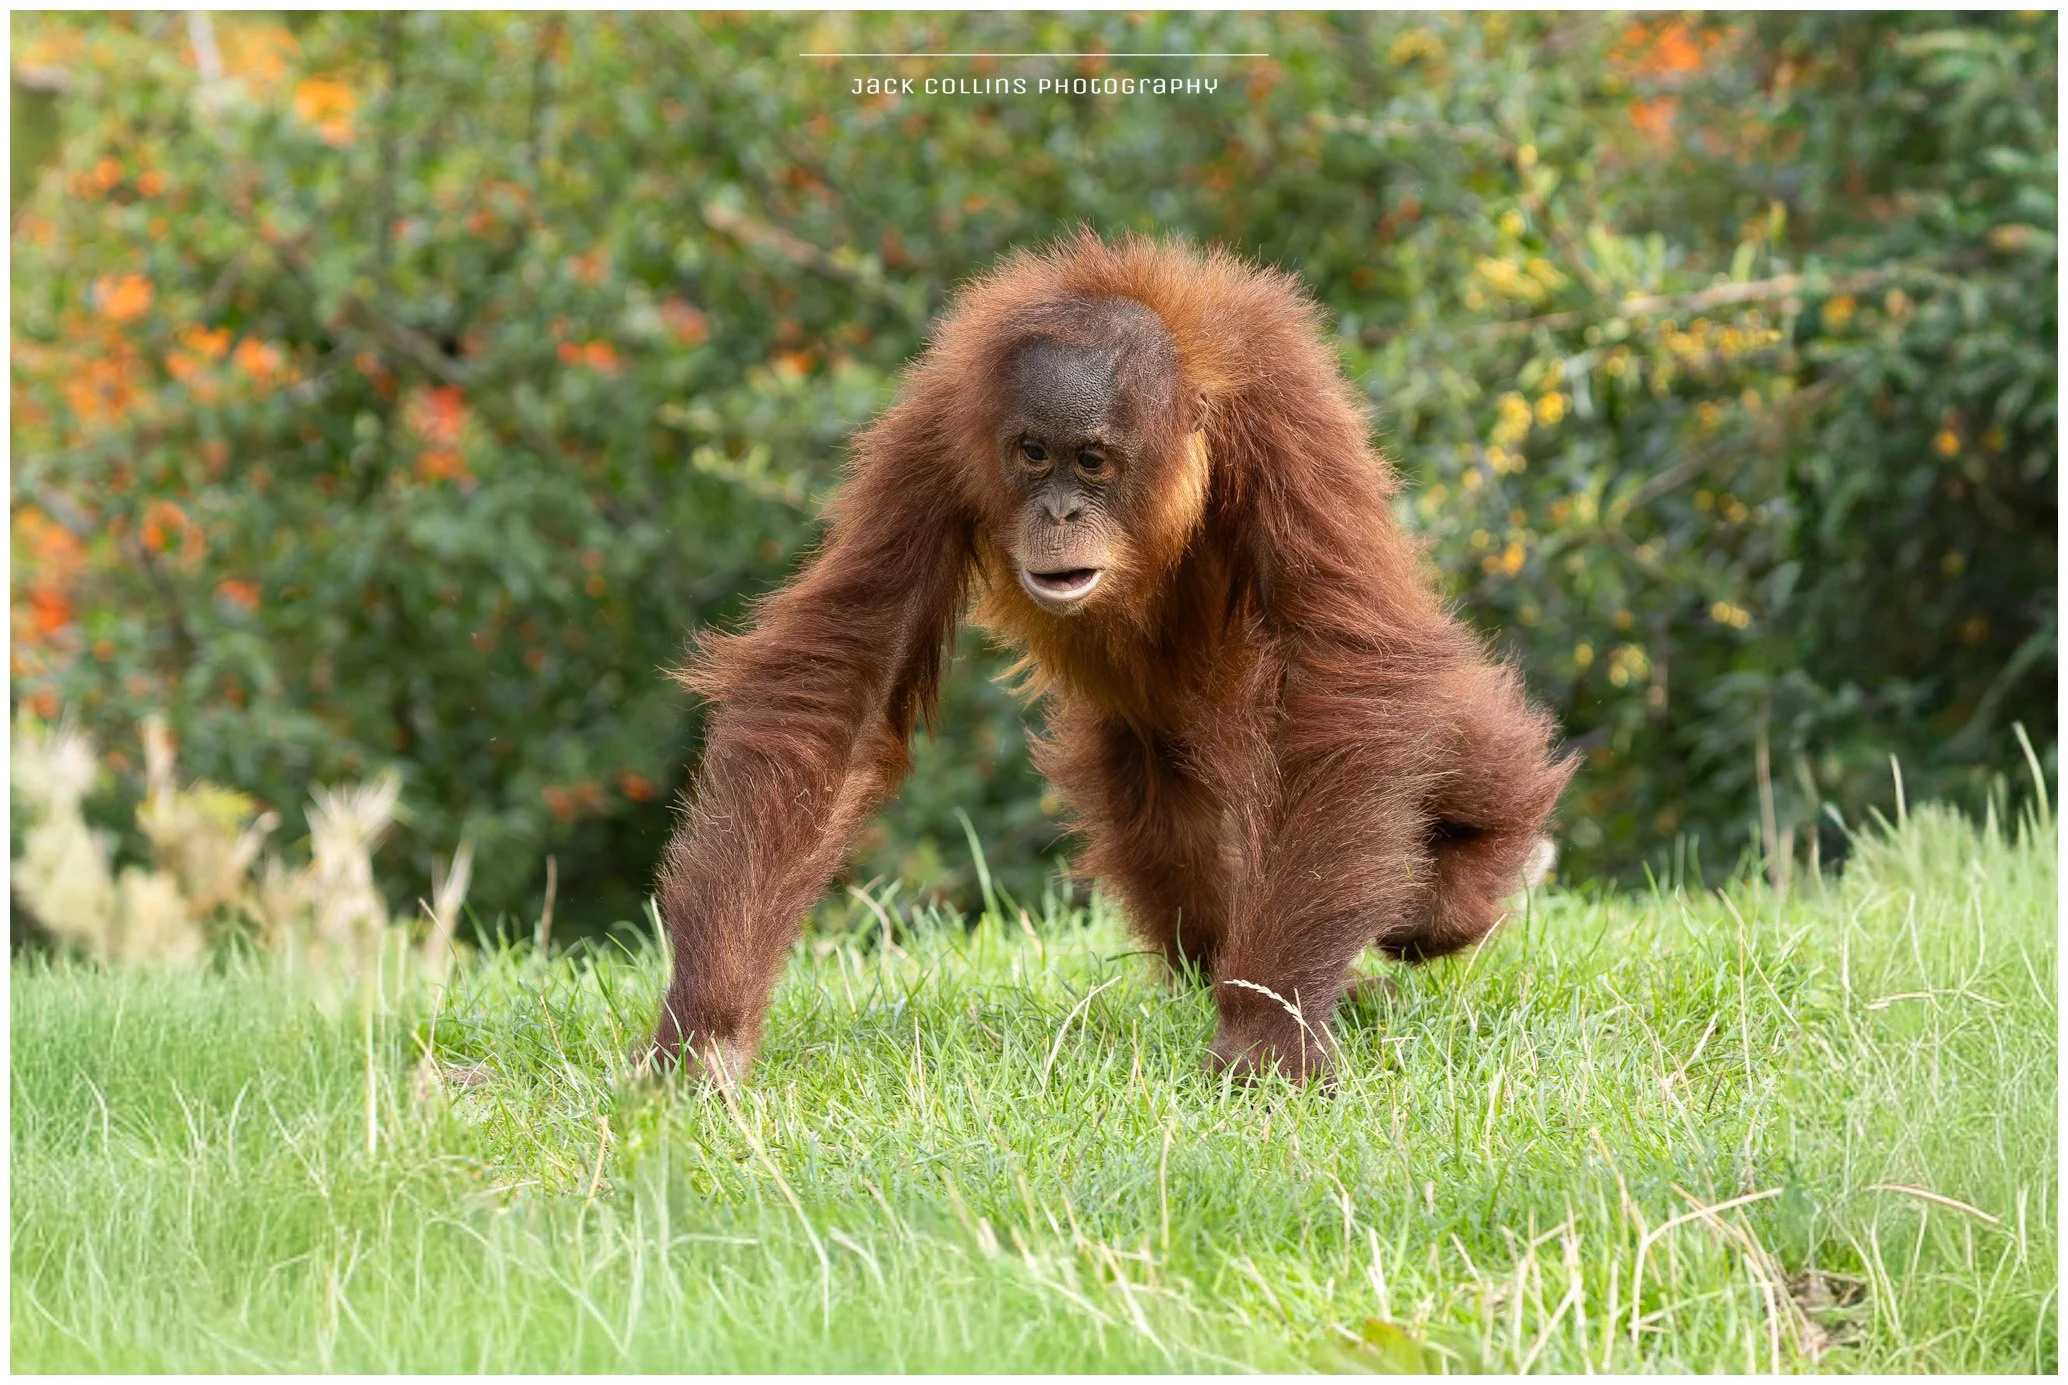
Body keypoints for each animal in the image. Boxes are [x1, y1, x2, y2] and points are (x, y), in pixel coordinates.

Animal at [648, 233, 1573, 1086]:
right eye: (1032, 453)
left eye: (1091, 459)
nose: (1058, 511)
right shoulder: (933, 437)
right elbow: (843, 674)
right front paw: (708, 1038)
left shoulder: (1288, 418)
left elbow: (1349, 671)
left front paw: (1267, 1037)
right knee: (1165, 838)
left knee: (1432, 733)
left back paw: (1480, 868)